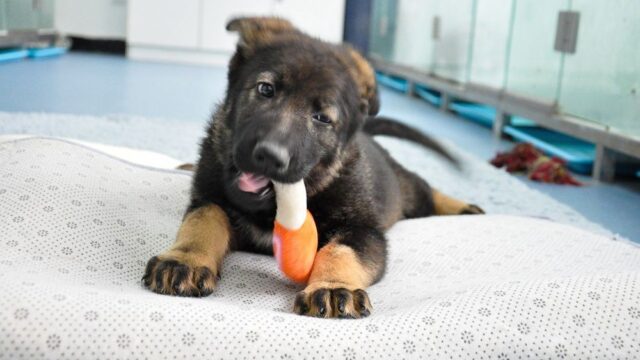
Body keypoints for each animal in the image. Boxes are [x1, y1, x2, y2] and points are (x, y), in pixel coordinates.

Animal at [142, 18, 482, 320]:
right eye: (265, 89)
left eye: (322, 118)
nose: (269, 156)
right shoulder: (209, 198)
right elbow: (203, 221)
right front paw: (185, 260)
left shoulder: (365, 232)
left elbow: (340, 251)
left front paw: (332, 286)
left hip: (407, 192)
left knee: (427, 189)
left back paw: (464, 207)